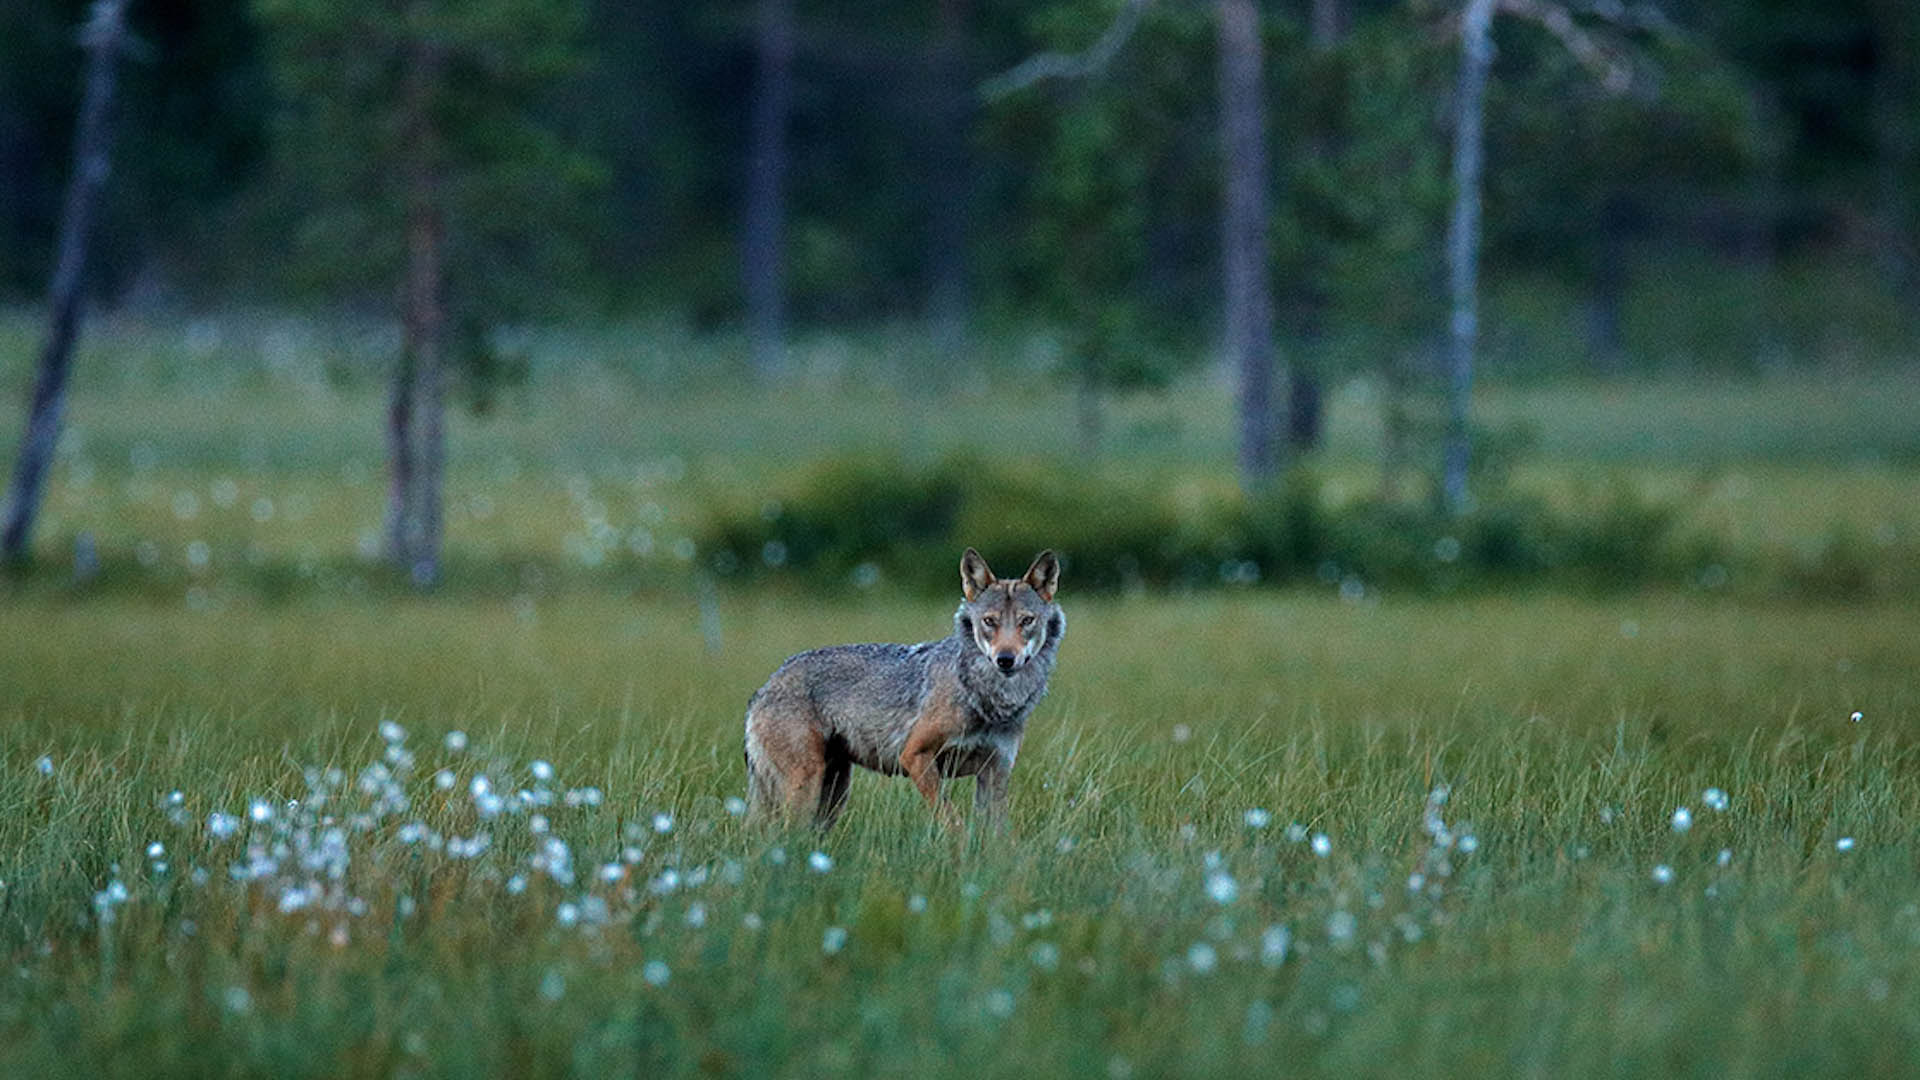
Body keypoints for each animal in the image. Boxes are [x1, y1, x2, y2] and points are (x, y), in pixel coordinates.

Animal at [741, 549, 1067, 826]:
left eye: (1027, 621)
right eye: (989, 622)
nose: (1006, 659)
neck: (990, 700)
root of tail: (766, 685)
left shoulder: (996, 773)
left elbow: (999, 839)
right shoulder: (915, 755)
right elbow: (954, 823)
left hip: (832, 796)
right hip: (808, 788)